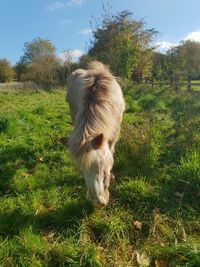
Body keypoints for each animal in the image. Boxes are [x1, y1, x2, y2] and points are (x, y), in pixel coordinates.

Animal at [65, 61, 125, 207]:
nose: (96, 202)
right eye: (81, 169)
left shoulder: (115, 132)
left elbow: (111, 150)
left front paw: (112, 176)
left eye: (101, 166)